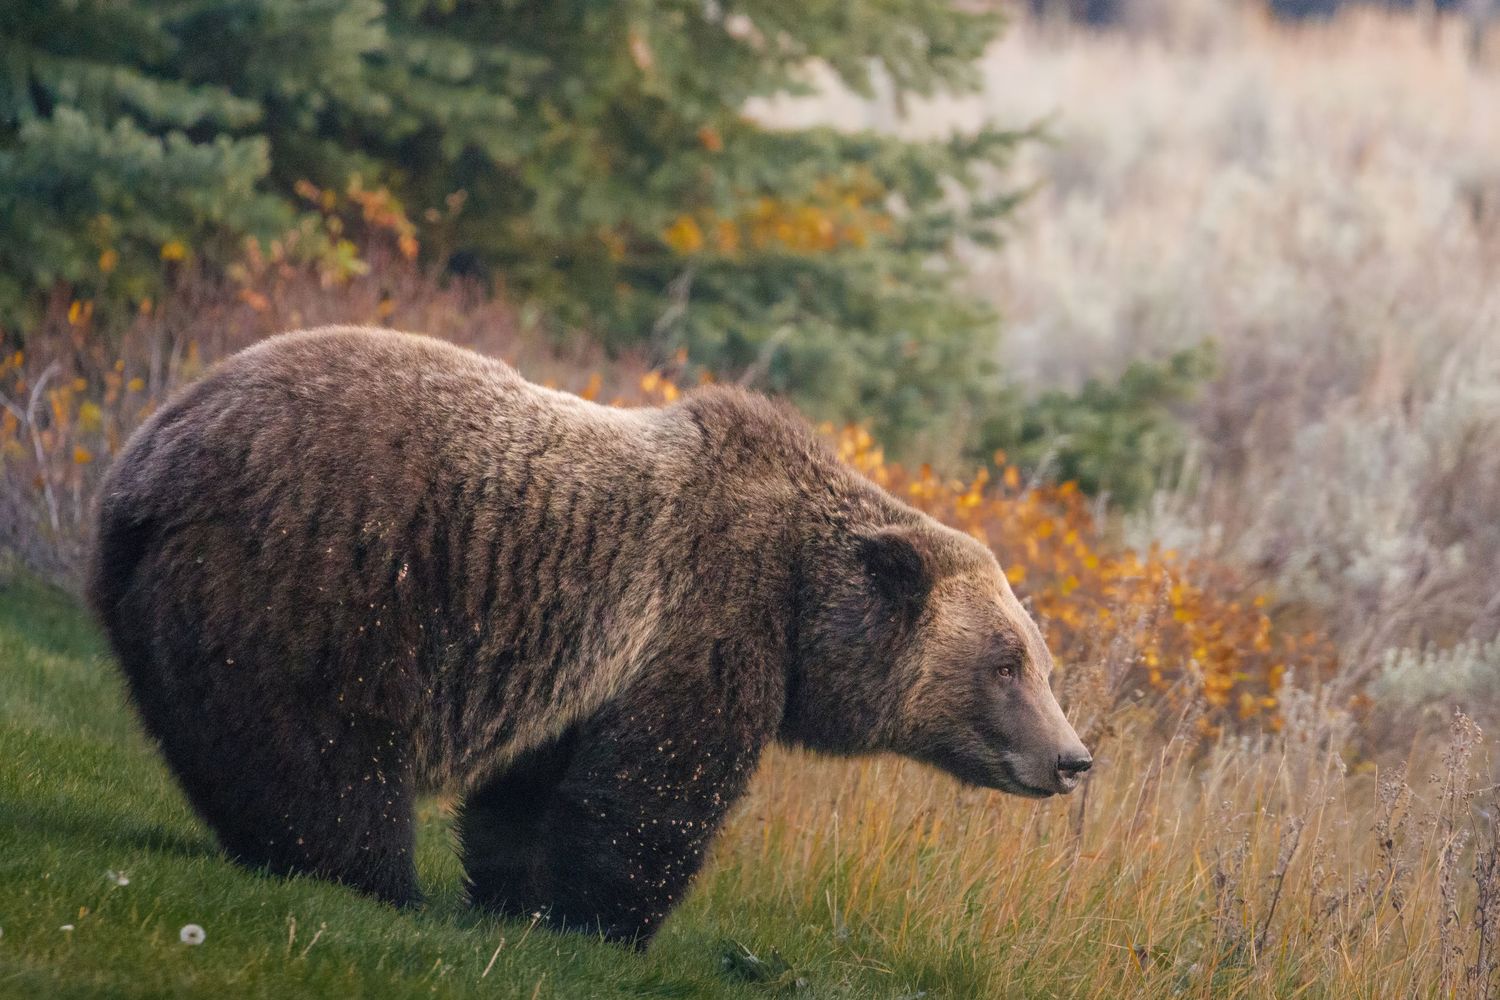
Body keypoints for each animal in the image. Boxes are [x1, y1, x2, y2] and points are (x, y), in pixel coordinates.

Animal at [88, 326, 1091, 946]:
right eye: (1007, 663)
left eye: (1045, 665)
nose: (1075, 758)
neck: (804, 606)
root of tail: (147, 461)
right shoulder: (705, 620)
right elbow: (656, 790)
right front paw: (606, 925)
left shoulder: (587, 666)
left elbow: (533, 790)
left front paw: (515, 898)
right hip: (319, 575)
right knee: (319, 748)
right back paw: (366, 875)